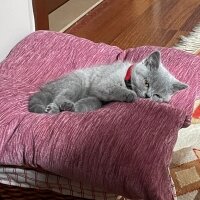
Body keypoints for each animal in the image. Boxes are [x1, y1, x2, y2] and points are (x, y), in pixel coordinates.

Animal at [28, 50, 188, 113]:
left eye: (158, 96)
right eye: (146, 83)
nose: (148, 96)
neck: (126, 77)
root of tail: (46, 87)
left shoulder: (98, 95)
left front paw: (76, 108)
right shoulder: (103, 85)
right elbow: (116, 90)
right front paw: (130, 95)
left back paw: (61, 108)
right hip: (75, 82)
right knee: (60, 96)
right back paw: (62, 105)